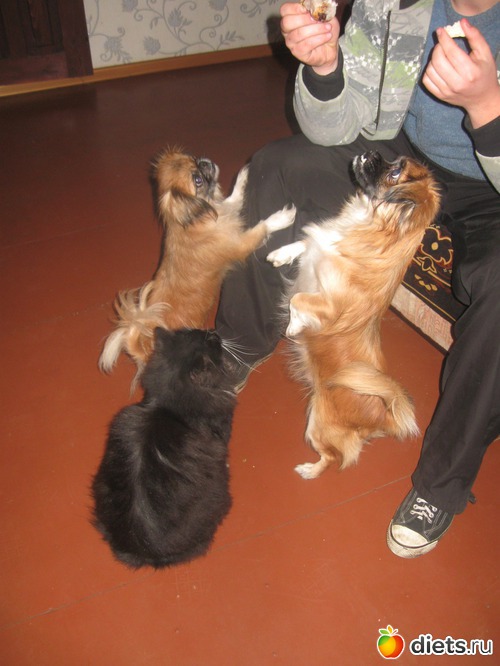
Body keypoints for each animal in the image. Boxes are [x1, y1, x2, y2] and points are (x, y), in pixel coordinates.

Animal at [92, 327, 237, 568]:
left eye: (197, 331)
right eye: (211, 342)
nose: (214, 331)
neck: (170, 406)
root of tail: (144, 550)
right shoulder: (220, 433)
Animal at [99, 148, 295, 378]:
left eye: (193, 158)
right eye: (197, 180)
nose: (205, 162)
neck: (196, 221)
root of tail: (144, 350)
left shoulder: (226, 209)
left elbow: (234, 197)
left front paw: (243, 175)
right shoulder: (241, 244)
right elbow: (262, 227)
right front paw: (280, 218)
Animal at [267, 151, 441, 479]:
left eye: (395, 173)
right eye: (395, 162)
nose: (371, 153)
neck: (363, 224)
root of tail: (382, 418)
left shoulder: (327, 306)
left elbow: (297, 299)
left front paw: (294, 328)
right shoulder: (317, 247)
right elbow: (304, 242)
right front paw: (281, 253)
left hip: (317, 422)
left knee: (334, 458)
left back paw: (308, 470)